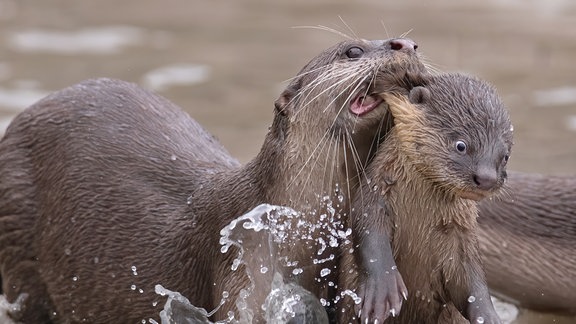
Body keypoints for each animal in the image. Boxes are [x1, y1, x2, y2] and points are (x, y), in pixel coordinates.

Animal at [340, 73, 510, 324]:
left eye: (505, 156)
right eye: (461, 145)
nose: (487, 178)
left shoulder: (460, 235)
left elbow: (472, 280)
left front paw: (489, 316)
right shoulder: (375, 196)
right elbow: (370, 235)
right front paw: (382, 292)